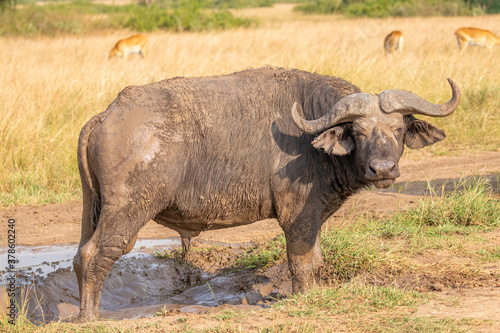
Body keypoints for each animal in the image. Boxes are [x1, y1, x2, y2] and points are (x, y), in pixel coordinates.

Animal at [72, 67, 458, 320]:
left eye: (398, 129)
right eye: (359, 132)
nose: (383, 169)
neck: (312, 141)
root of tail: (107, 115)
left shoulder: (314, 216)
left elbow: (317, 261)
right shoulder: (297, 217)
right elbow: (302, 264)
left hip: (94, 208)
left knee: (79, 255)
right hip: (128, 211)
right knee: (96, 255)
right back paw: (90, 319)